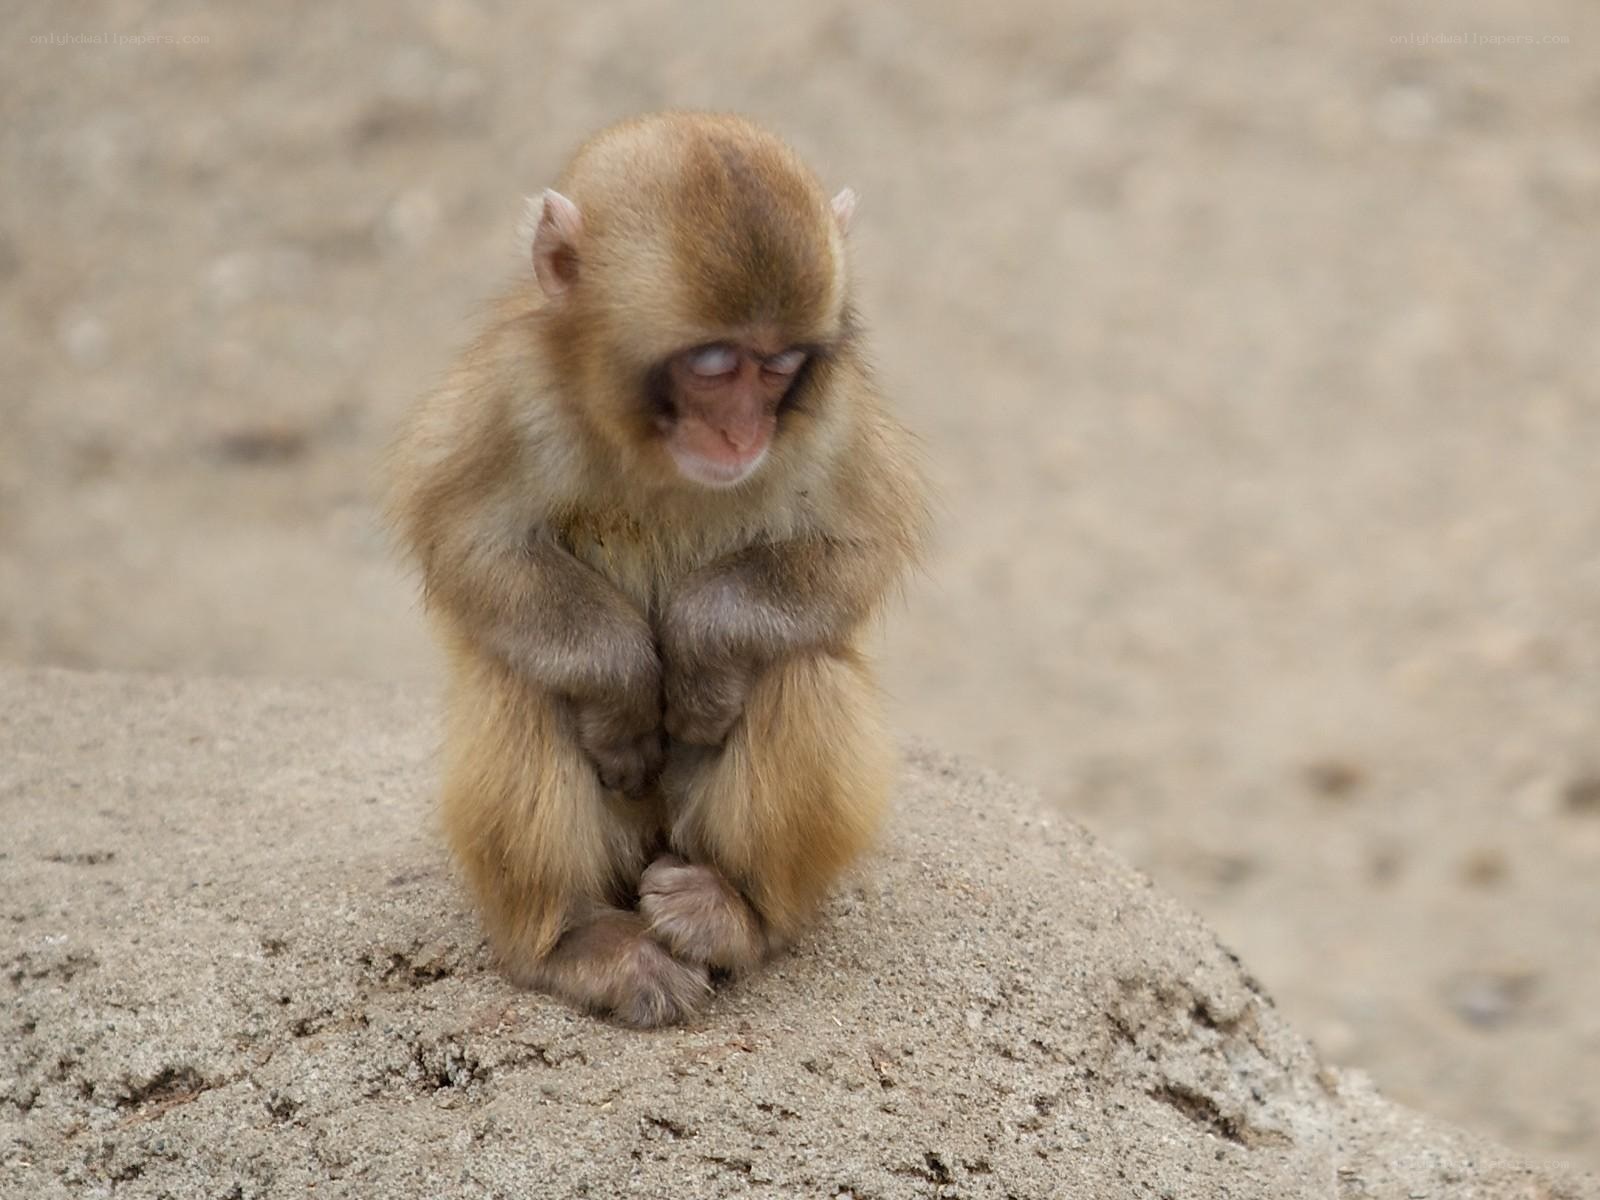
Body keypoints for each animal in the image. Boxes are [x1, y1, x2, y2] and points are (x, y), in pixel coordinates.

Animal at [387, 112, 927, 1027]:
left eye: (780, 365)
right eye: (711, 364)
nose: (743, 434)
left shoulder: (833, 414)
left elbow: (856, 548)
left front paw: (701, 655)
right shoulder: (510, 391)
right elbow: (468, 540)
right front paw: (624, 689)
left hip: (685, 826)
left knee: (802, 670)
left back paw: (737, 913)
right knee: (518, 682)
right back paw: (572, 943)